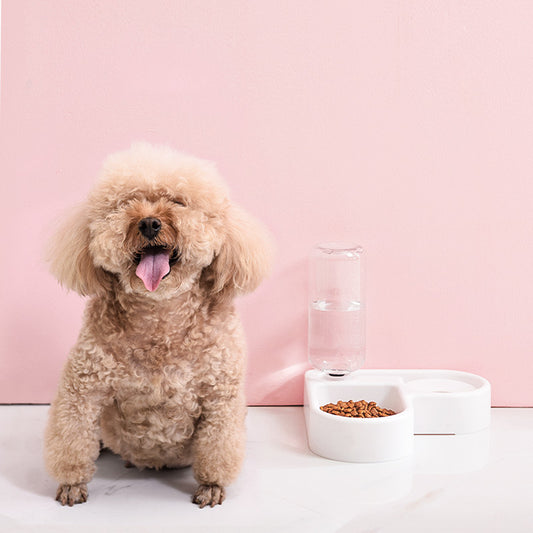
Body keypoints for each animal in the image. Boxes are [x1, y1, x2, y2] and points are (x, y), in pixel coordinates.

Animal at [42, 142, 270, 508]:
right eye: (126, 204)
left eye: (178, 202)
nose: (149, 223)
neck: (159, 317)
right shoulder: (82, 389)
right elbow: (71, 437)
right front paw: (71, 483)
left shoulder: (221, 397)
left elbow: (218, 446)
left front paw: (211, 485)